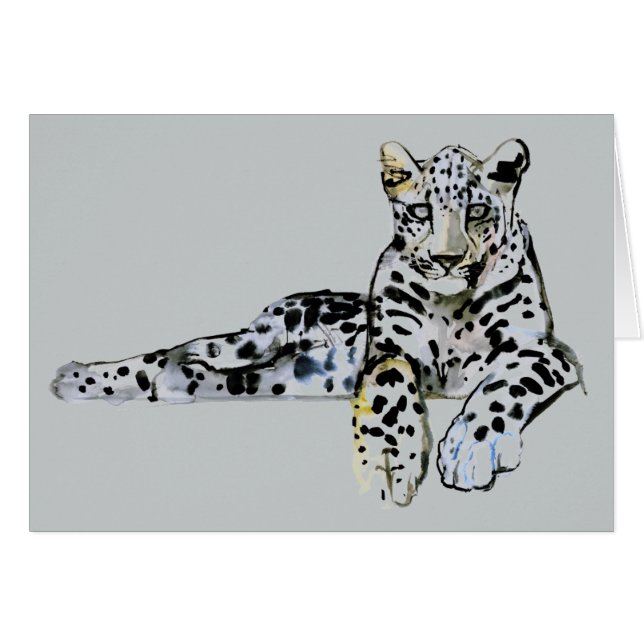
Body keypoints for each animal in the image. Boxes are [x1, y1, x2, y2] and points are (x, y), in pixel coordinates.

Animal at [51, 137, 583, 506]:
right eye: (419, 210)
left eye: (476, 211)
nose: (447, 260)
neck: (450, 307)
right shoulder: (388, 351)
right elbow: (392, 387)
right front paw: (389, 458)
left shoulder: (544, 351)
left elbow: (503, 386)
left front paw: (469, 450)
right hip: (261, 336)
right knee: (177, 354)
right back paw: (85, 374)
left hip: (268, 379)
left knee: (181, 374)